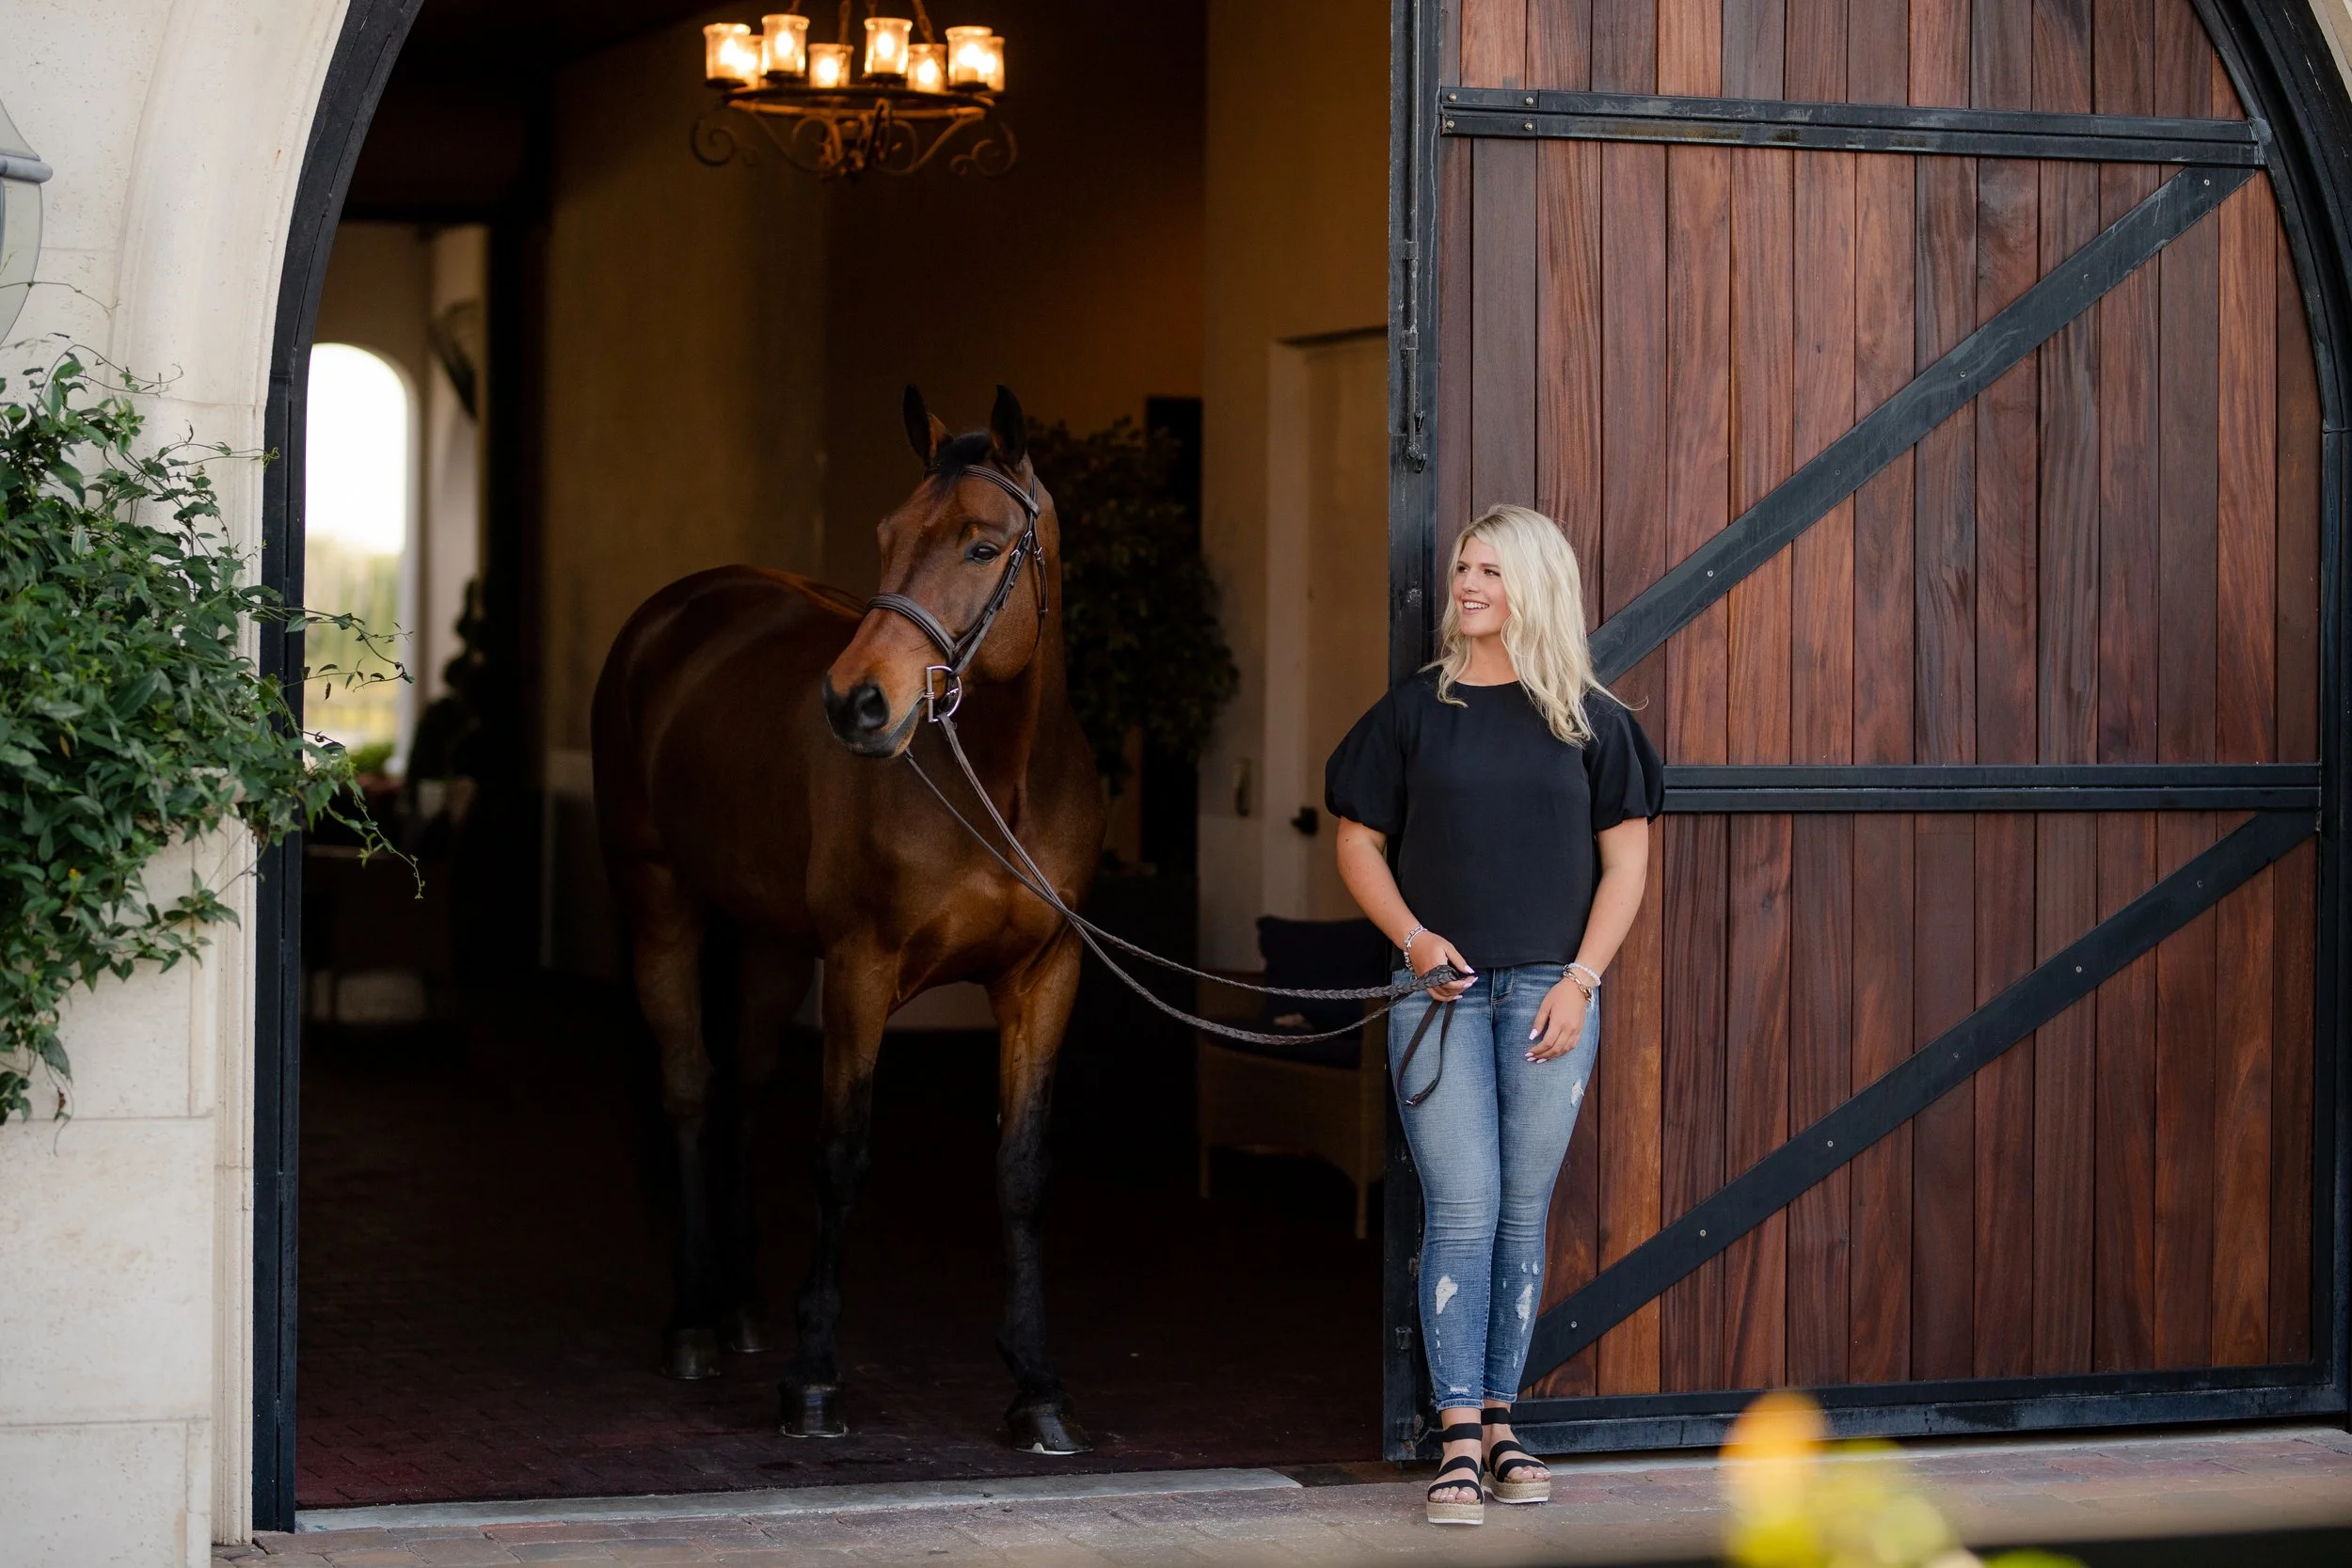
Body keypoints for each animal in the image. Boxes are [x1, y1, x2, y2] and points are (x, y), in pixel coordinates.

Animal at [590, 385, 1105, 1453]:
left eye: (983, 545)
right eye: (887, 534)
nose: (857, 701)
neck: (999, 780)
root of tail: (672, 615)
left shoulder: (1044, 977)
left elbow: (1022, 1168)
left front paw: (1038, 1385)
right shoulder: (864, 970)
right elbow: (839, 1154)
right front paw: (815, 1374)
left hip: (773, 941)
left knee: (745, 1078)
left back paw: (741, 1301)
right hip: (661, 900)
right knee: (691, 1086)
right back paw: (694, 1317)